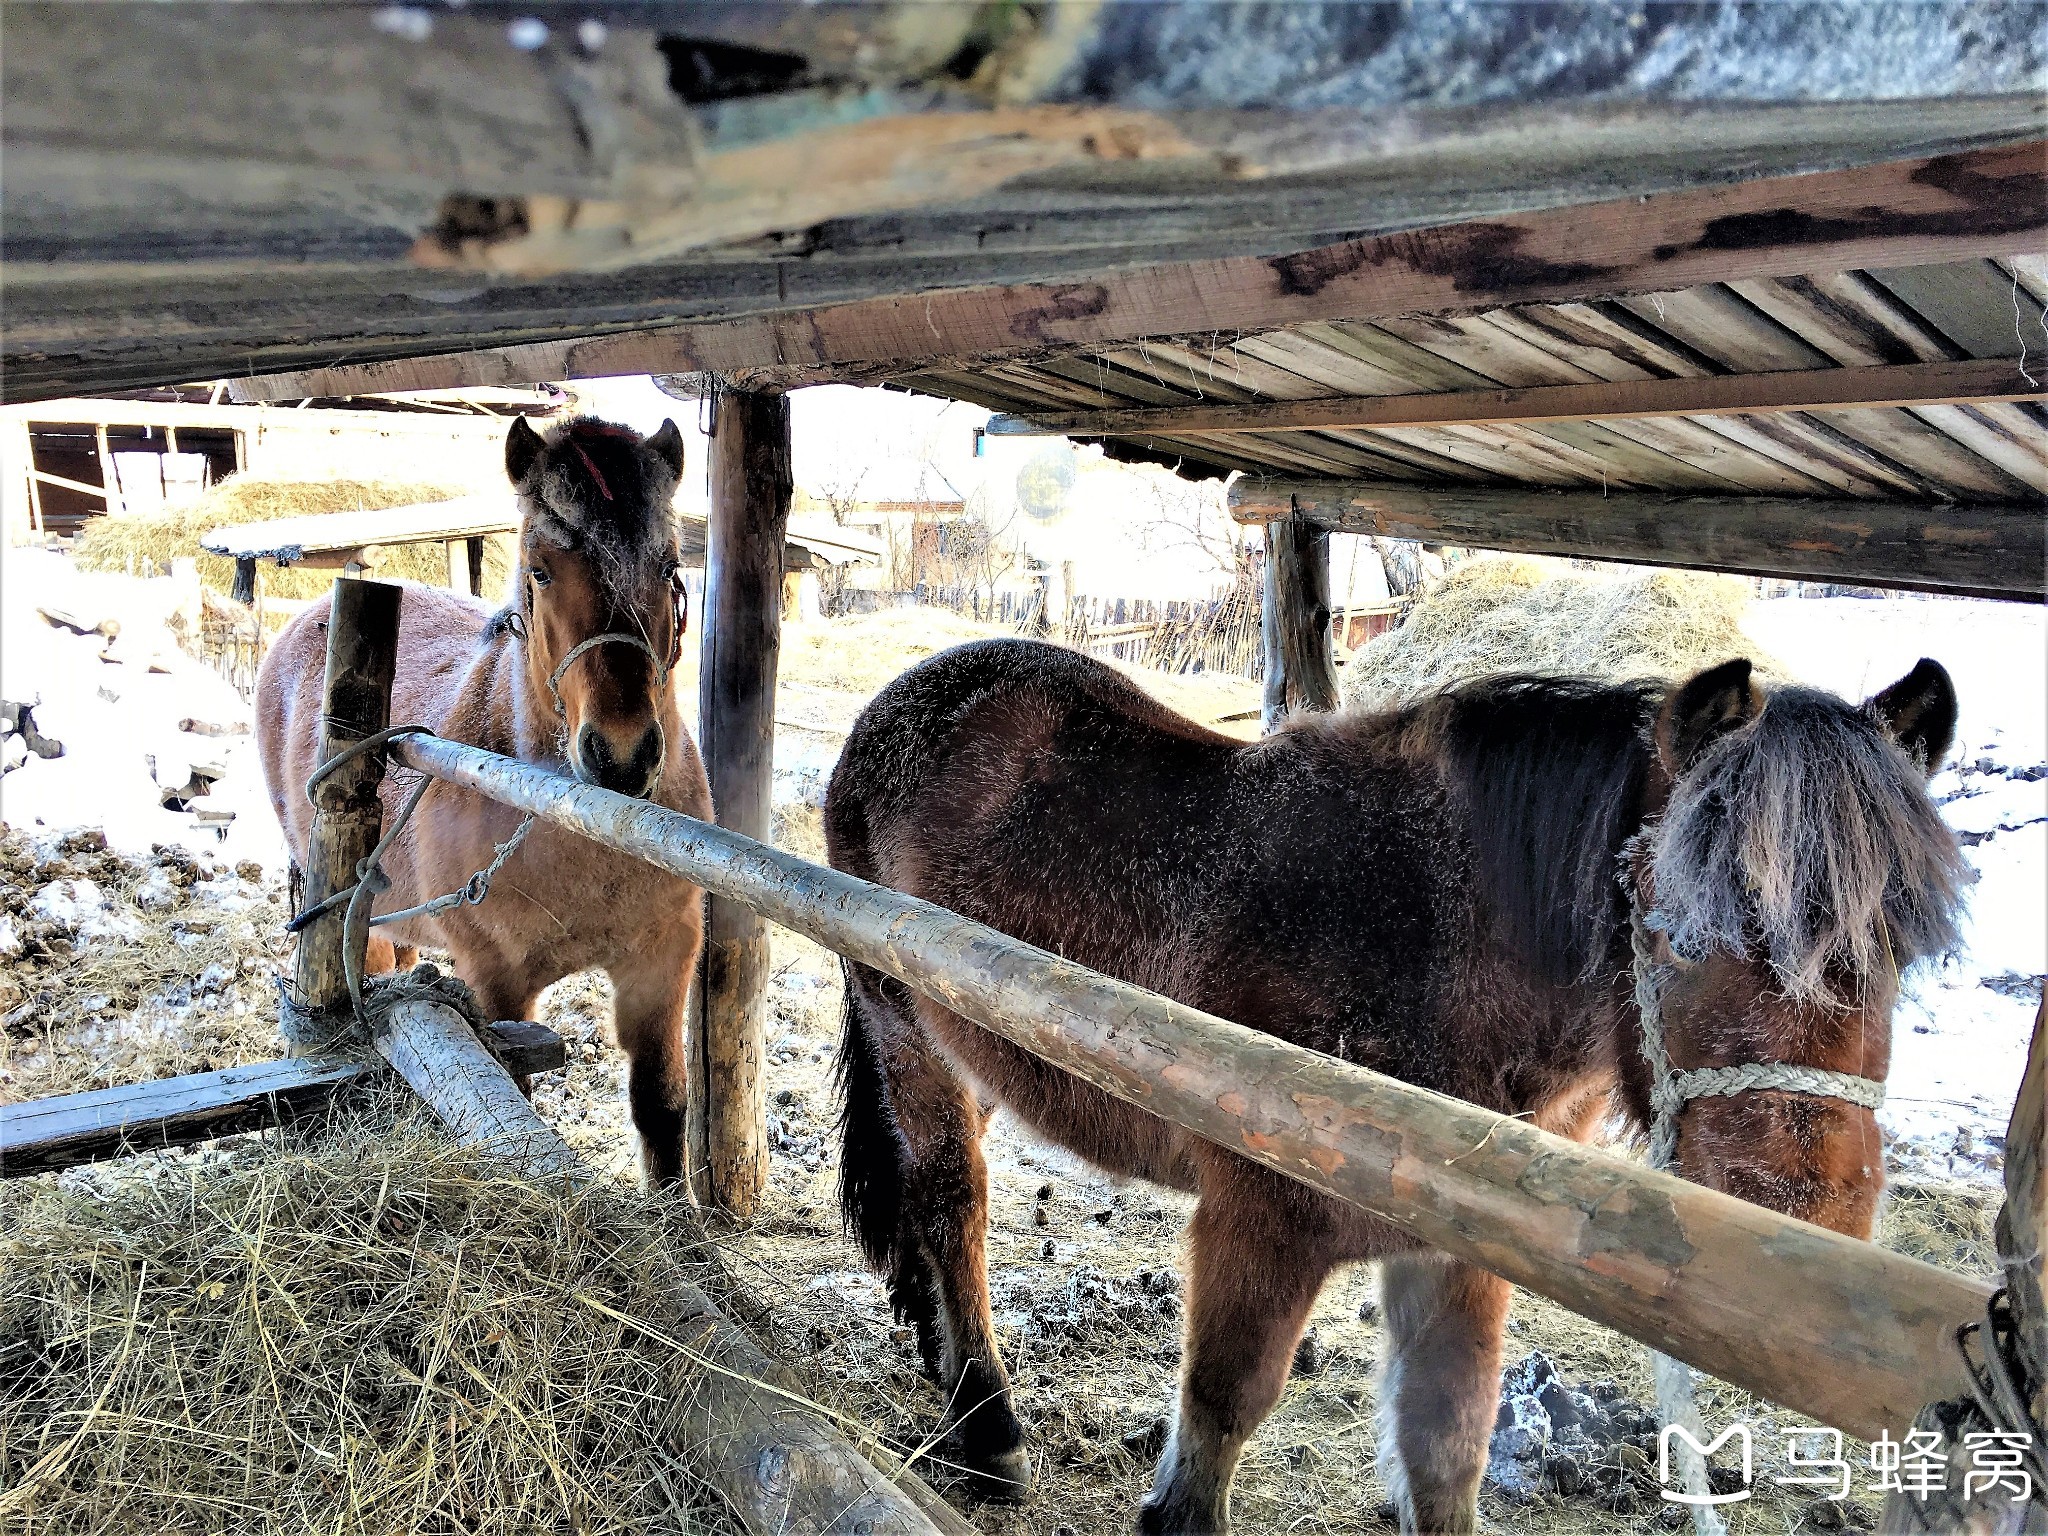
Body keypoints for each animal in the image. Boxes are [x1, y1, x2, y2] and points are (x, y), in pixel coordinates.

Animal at [260, 415, 716, 1187]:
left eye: (667, 567)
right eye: (540, 570)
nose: (622, 754)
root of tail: (310, 614)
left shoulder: (662, 959)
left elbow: (660, 1109)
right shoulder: (497, 981)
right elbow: (517, 1091)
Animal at [827, 638, 1966, 1536]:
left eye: (1904, 944)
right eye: (1678, 929)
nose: (1803, 1223)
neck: (1429, 938)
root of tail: (905, 697)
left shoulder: (1460, 1251)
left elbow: (1447, 1444)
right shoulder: (1259, 1222)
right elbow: (1220, 1415)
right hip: (905, 1029)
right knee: (952, 1202)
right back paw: (986, 1423)